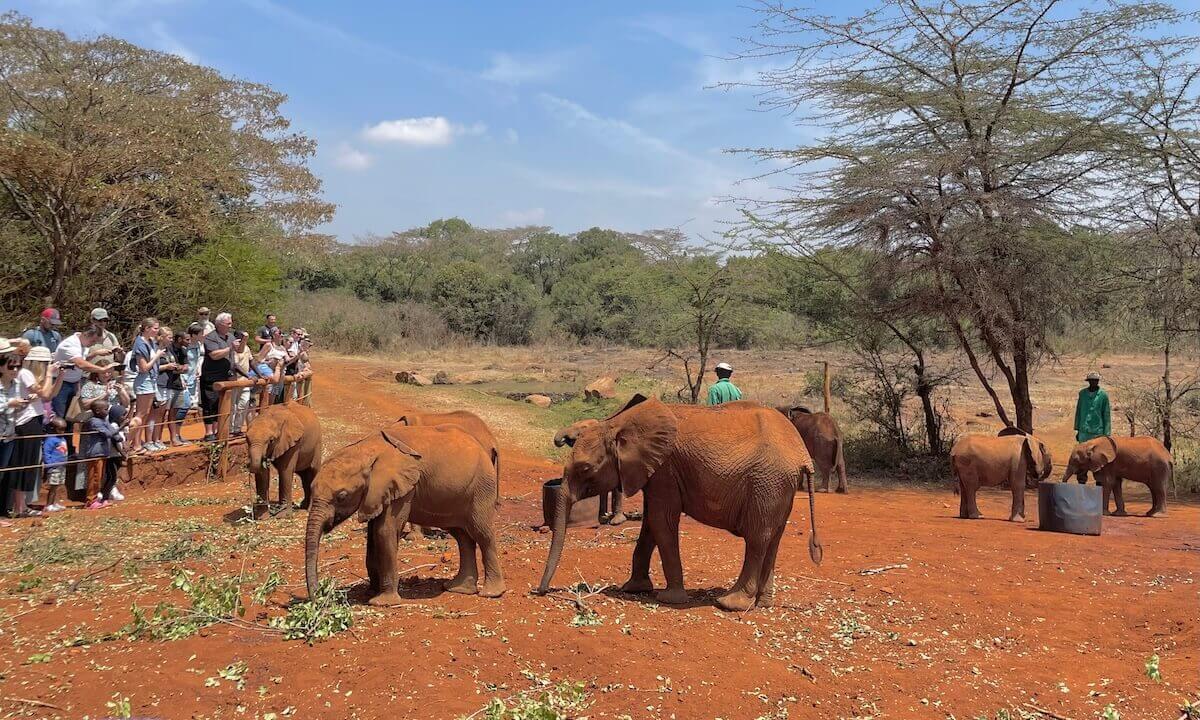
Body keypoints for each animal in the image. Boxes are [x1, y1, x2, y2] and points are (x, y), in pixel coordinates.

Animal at [304, 425, 503, 606]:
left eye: (342, 496)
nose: (318, 599)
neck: (366, 450)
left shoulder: (402, 488)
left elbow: (384, 531)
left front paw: (381, 602)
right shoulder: (378, 493)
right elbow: (373, 533)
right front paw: (370, 592)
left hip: (482, 487)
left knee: (482, 533)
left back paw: (491, 593)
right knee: (462, 537)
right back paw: (458, 588)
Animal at [537, 395, 822, 612]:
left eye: (585, 469)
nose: (540, 591)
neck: (618, 424)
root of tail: (802, 454)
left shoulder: (665, 469)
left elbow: (661, 521)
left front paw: (669, 598)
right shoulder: (654, 472)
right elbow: (651, 523)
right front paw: (633, 588)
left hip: (768, 481)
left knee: (757, 538)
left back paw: (730, 603)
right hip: (780, 486)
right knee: (774, 537)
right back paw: (762, 604)